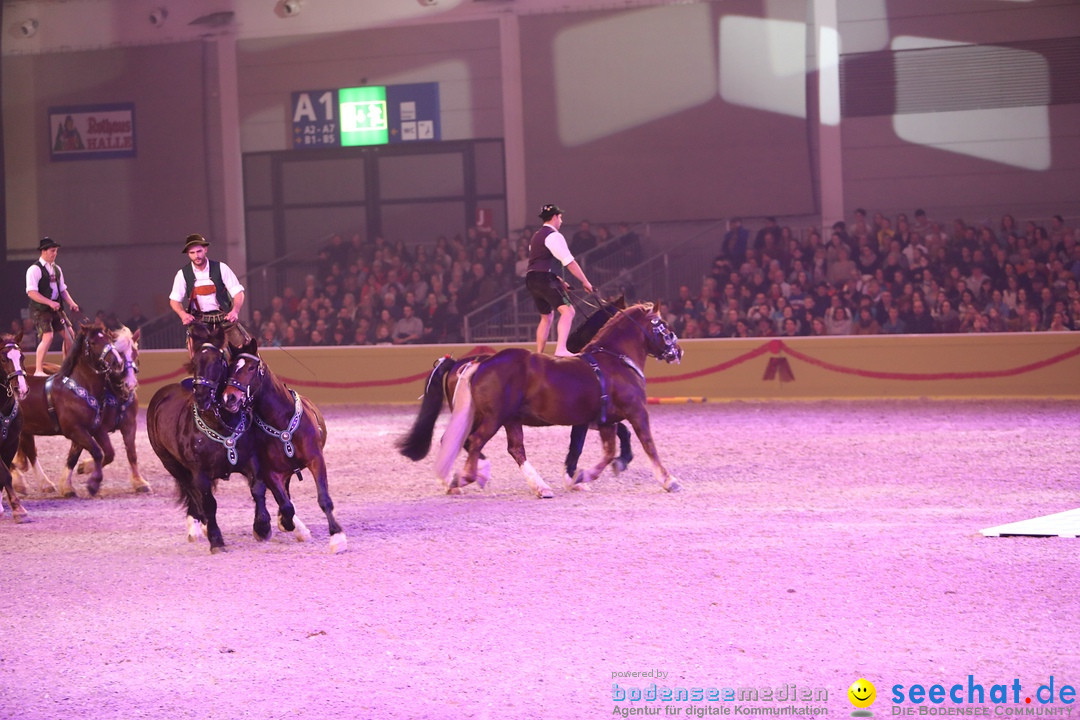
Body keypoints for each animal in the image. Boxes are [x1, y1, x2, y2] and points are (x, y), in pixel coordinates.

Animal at [147, 321, 282, 552]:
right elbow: (209, 503)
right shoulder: (198, 471)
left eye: (219, 360)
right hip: (171, 464)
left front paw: (262, 527)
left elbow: (257, 488)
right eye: (194, 362)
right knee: (192, 492)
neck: (220, 422)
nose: (202, 396)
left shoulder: (250, 460)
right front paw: (216, 539)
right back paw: (198, 525)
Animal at [221, 341, 347, 557]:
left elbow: (323, 499)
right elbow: (286, 505)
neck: (281, 420)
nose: (230, 398)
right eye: (229, 367)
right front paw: (285, 523)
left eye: (251, 368)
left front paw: (337, 537)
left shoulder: (316, 460)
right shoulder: (271, 472)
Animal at [397, 302, 682, 498]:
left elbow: (608, 451)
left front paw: (583, 476)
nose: (678, 351)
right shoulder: (636, 411)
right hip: (493, 417)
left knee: (503, 447)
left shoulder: (604, 421)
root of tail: (479, 362)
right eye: (663, 325)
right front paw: (669, 480)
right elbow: (647, 444)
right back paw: (468, 477)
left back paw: (535, 486)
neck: (614, 359)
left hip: (504, 418)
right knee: (475, 441)